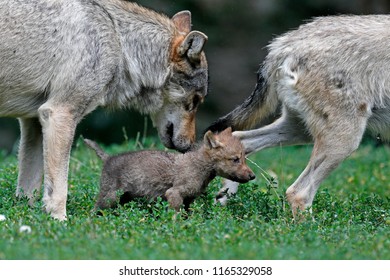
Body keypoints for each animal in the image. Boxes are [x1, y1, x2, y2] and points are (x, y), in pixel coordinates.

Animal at [0, 0, 209, 220]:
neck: (118, 41)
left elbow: (27, 191)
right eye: (196, 101)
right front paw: (59, 220)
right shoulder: (60, 113)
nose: (189, 146)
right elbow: (59, 189)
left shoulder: (33, 121)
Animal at [84, 127, 254, 212]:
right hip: (109, 198)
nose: (253, 176)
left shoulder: (188, 200)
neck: (199, 167)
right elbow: (176, 217)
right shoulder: (174, 193)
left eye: (244, 158)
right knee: (93, 212)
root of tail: (108, 158)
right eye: (235, 159)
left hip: (125, 198)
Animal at [209, 15, 390, 220]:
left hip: (301, 131)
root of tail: (283, 44)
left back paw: (223, 208)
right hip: (344, 141)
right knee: (298, 193)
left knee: (239, 139)